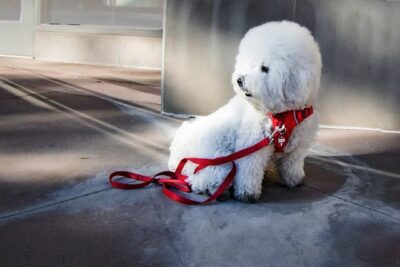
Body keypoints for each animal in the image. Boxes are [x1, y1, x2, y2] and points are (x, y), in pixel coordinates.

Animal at [168, 20, 322, 203]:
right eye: (249, 63)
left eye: (265, 68)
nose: (239, 80)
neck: (282, 114)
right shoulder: (253, 144)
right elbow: (249, 170)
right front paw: (247, 193)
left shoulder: (299, 143)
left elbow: (292, 162)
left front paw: (293, 179)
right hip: (216, 156)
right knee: (205, 177)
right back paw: (214, 189)